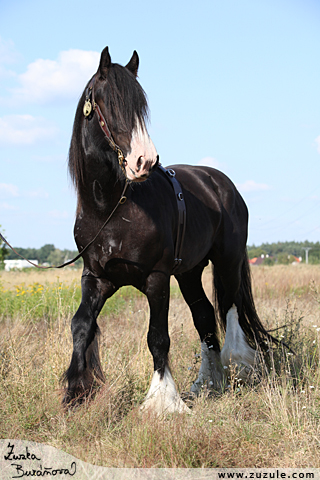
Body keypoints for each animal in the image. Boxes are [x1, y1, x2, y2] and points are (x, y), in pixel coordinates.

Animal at [64, 47, 272, 412]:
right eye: (109, 103)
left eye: (141, 107)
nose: (144, 161)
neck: (110, 208)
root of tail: (220, 182)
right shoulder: (96, 278)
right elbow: (82, 325)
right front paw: (76, 392)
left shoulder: (157, 279)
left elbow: (158, 337)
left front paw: (162, 401)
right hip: (189, 273)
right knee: (205, 317)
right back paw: (207, 383)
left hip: (228, 262)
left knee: (231, 310)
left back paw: (236, 366)